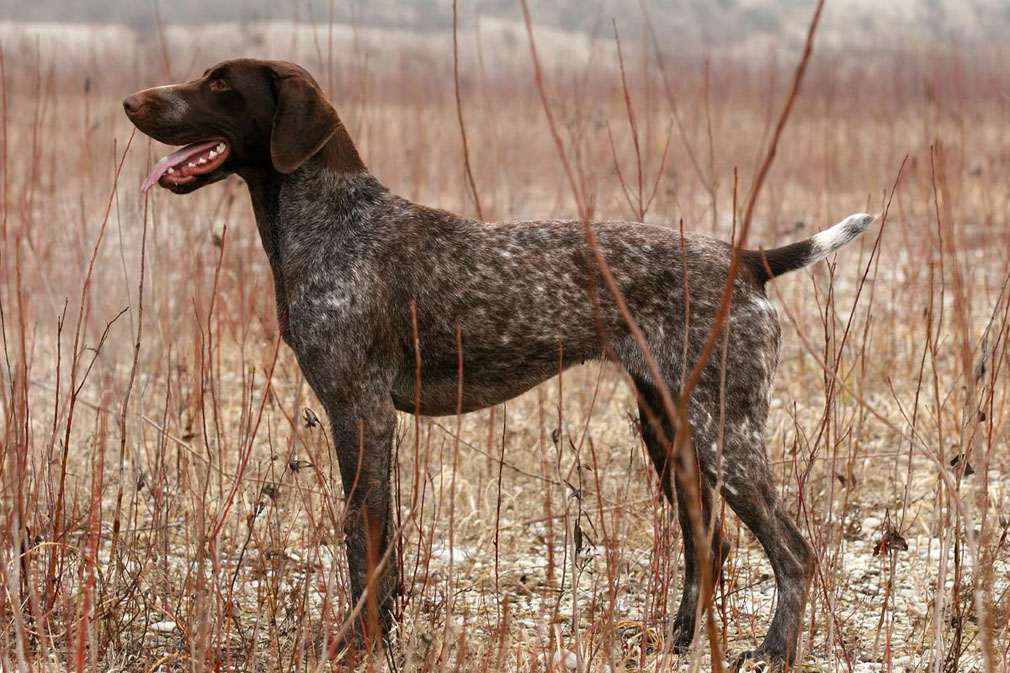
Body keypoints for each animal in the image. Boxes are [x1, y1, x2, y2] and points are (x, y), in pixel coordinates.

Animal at [122, 58, 872, 666]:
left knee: (794, 551)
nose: (130, 100)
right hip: (670, 426)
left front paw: (355, 646)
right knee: (708, 543)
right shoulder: (366, 418)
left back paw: (774, 652)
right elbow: (383, 546)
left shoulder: (360, 412)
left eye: (220, 84)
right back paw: (677, 640)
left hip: (723, 431)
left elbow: (364, 542)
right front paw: (383, 638)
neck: (331, 223)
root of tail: (749, 260)